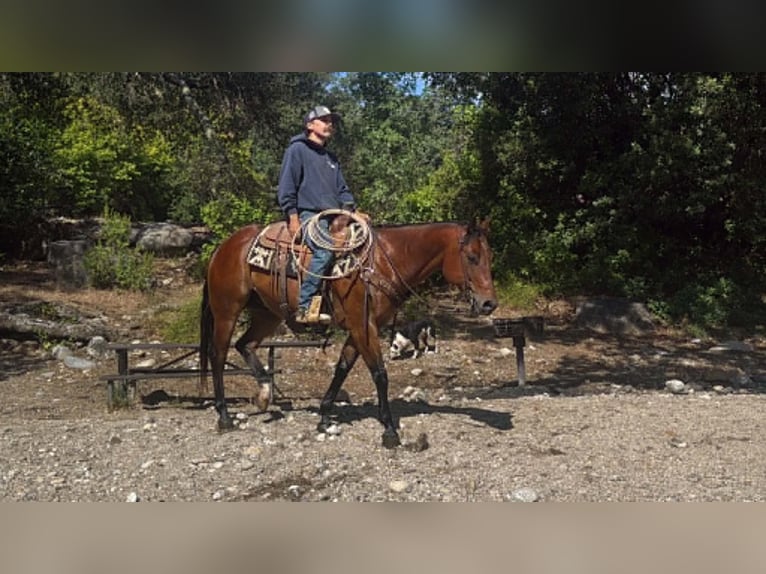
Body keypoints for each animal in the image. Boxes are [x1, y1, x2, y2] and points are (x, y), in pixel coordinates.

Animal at [199, 216, 498, 448]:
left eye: (489, 257)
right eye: (472, 258)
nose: (489, 303)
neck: (383, 261)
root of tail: (223, 247)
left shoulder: (358, 328)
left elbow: (342, 369)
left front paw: (324, 417)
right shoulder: (363, 325)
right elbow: (379, 374)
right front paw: (389, 430)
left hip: (267, 314)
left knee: (245, 345)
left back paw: (263, 394)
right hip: (227, 312)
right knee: (218, 355)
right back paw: (224, 415)